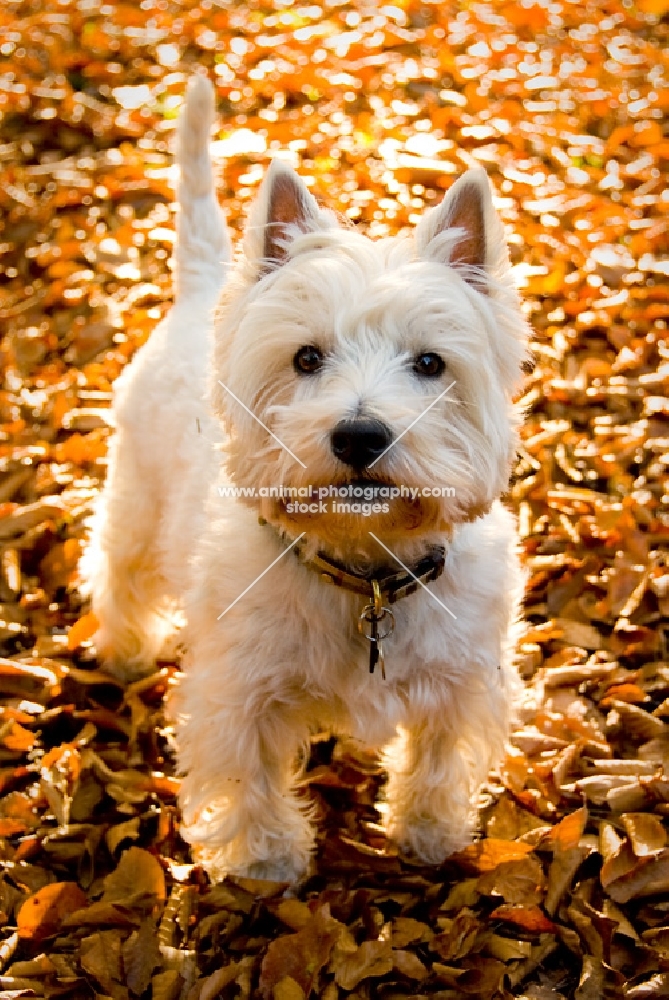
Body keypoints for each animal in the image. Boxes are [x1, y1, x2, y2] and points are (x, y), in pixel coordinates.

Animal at [81, 78, 528, 884]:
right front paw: (267, 862)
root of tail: (201, 294)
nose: (359, 436)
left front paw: (427, 834)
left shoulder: (463, 679)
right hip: (135, 493)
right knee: (118, 567)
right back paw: (125, 648)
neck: (366, 568)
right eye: (307, 358)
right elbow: (249, 774)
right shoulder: (239, 690)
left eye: (429, 363)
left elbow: (439, 758)